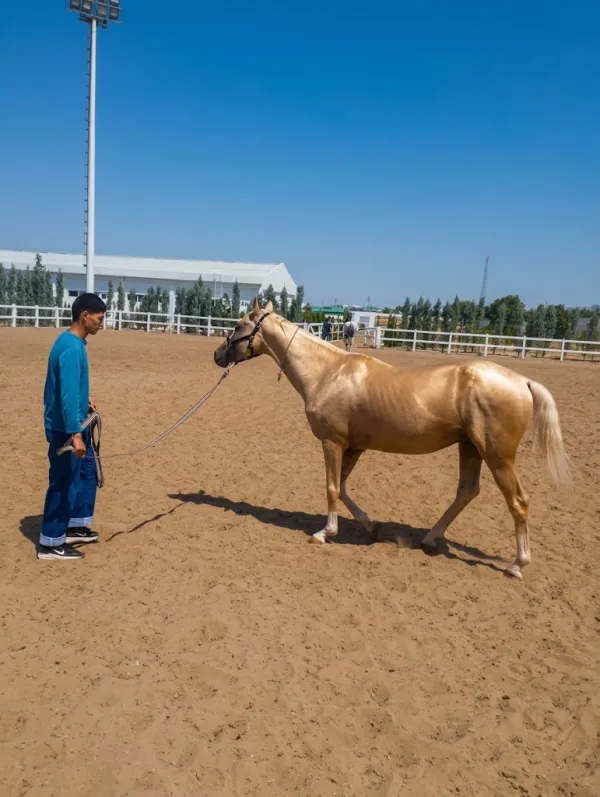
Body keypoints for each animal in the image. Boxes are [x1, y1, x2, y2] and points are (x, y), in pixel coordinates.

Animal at [214, 298, 571, 580]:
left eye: (239, 324)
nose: (217, 355)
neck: (328, 373)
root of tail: (523, 381)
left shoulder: (332, 443)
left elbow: (331, 487)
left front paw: (325, 533)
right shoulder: (354, 447)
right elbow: (343, 487)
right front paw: (371, 528)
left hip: (497, 456)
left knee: (518, 502)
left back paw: (517, 565)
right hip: (470, 448)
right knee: (466, 492)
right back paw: (429, 540)